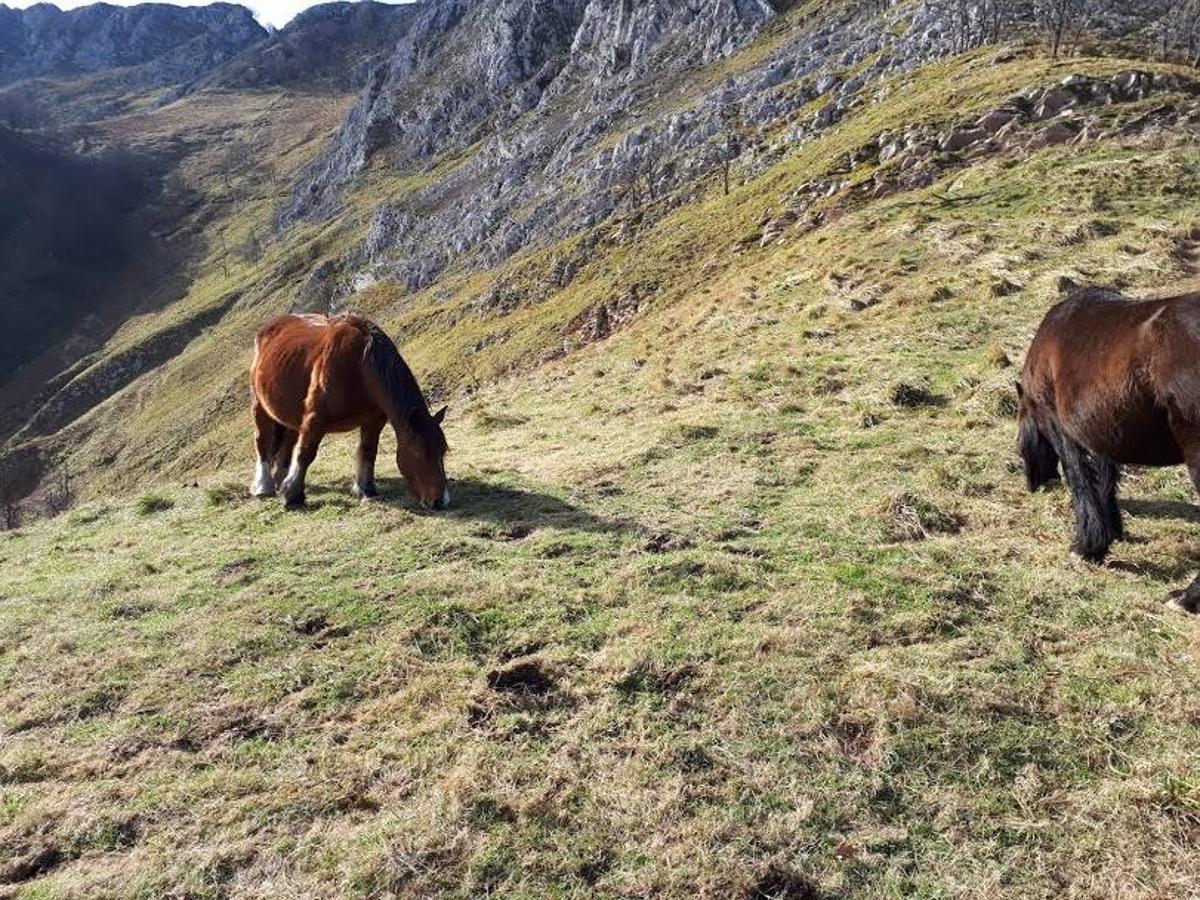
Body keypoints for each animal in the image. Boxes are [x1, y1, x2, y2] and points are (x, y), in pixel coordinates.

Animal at [249, 314, 451, 513]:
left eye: (443, 451)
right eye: (419, 452)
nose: (440, 501)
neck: (361, 364)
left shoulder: (374, 421)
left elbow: (369, 452)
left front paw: (367, 491)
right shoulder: (315, 420)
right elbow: (305, 454)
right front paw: (292, 496)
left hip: (291, 418)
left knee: (285, 447)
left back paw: (279, 481)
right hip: (260, 407)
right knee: (262, 442)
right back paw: (263, 486)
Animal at [1017, 289, 1200, 614]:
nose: (1033, 485)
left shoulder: (1063, 431)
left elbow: (1080, 481)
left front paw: (1086, 547)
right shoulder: (1103, 429)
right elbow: (1104, 480)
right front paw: (1110, 534)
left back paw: (1186, 599)